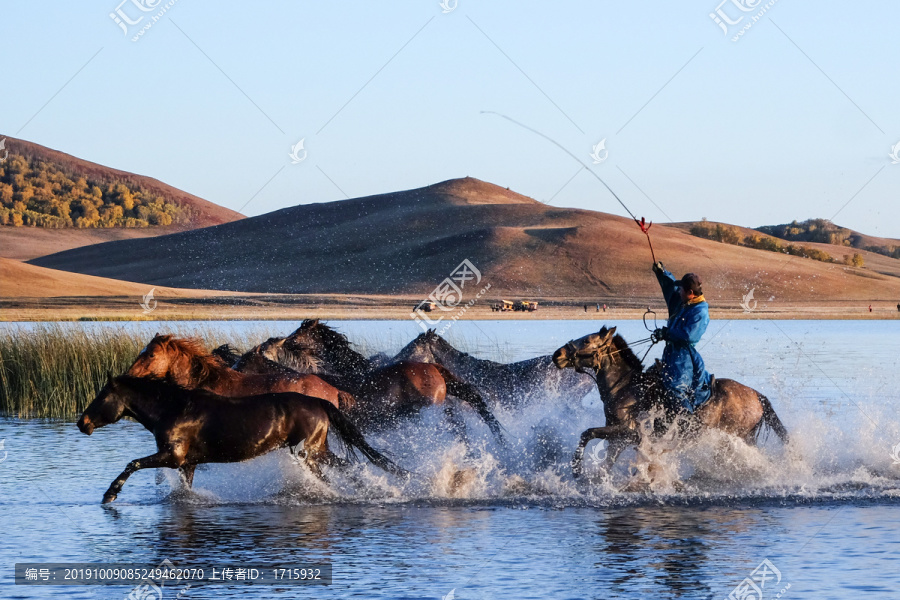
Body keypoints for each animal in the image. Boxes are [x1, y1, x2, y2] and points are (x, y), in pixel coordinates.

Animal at [77, 376, 404, 502]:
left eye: (102, 396)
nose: (82, 423)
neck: (173, 409)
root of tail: (319, 402)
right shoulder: (187, 463)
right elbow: (185, 489)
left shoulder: (172, 457)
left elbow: (132, 464)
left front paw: (110, 494)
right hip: (318, 450)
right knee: (350, 468)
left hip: (307, 454)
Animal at [548, 326, 788, 476]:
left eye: (587, 340)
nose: (557, 355)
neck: (625, 388)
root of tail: (756, 395)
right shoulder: (618, 439)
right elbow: (605, 462)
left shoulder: (628, 431)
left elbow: (587, 433)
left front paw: (576, 470)